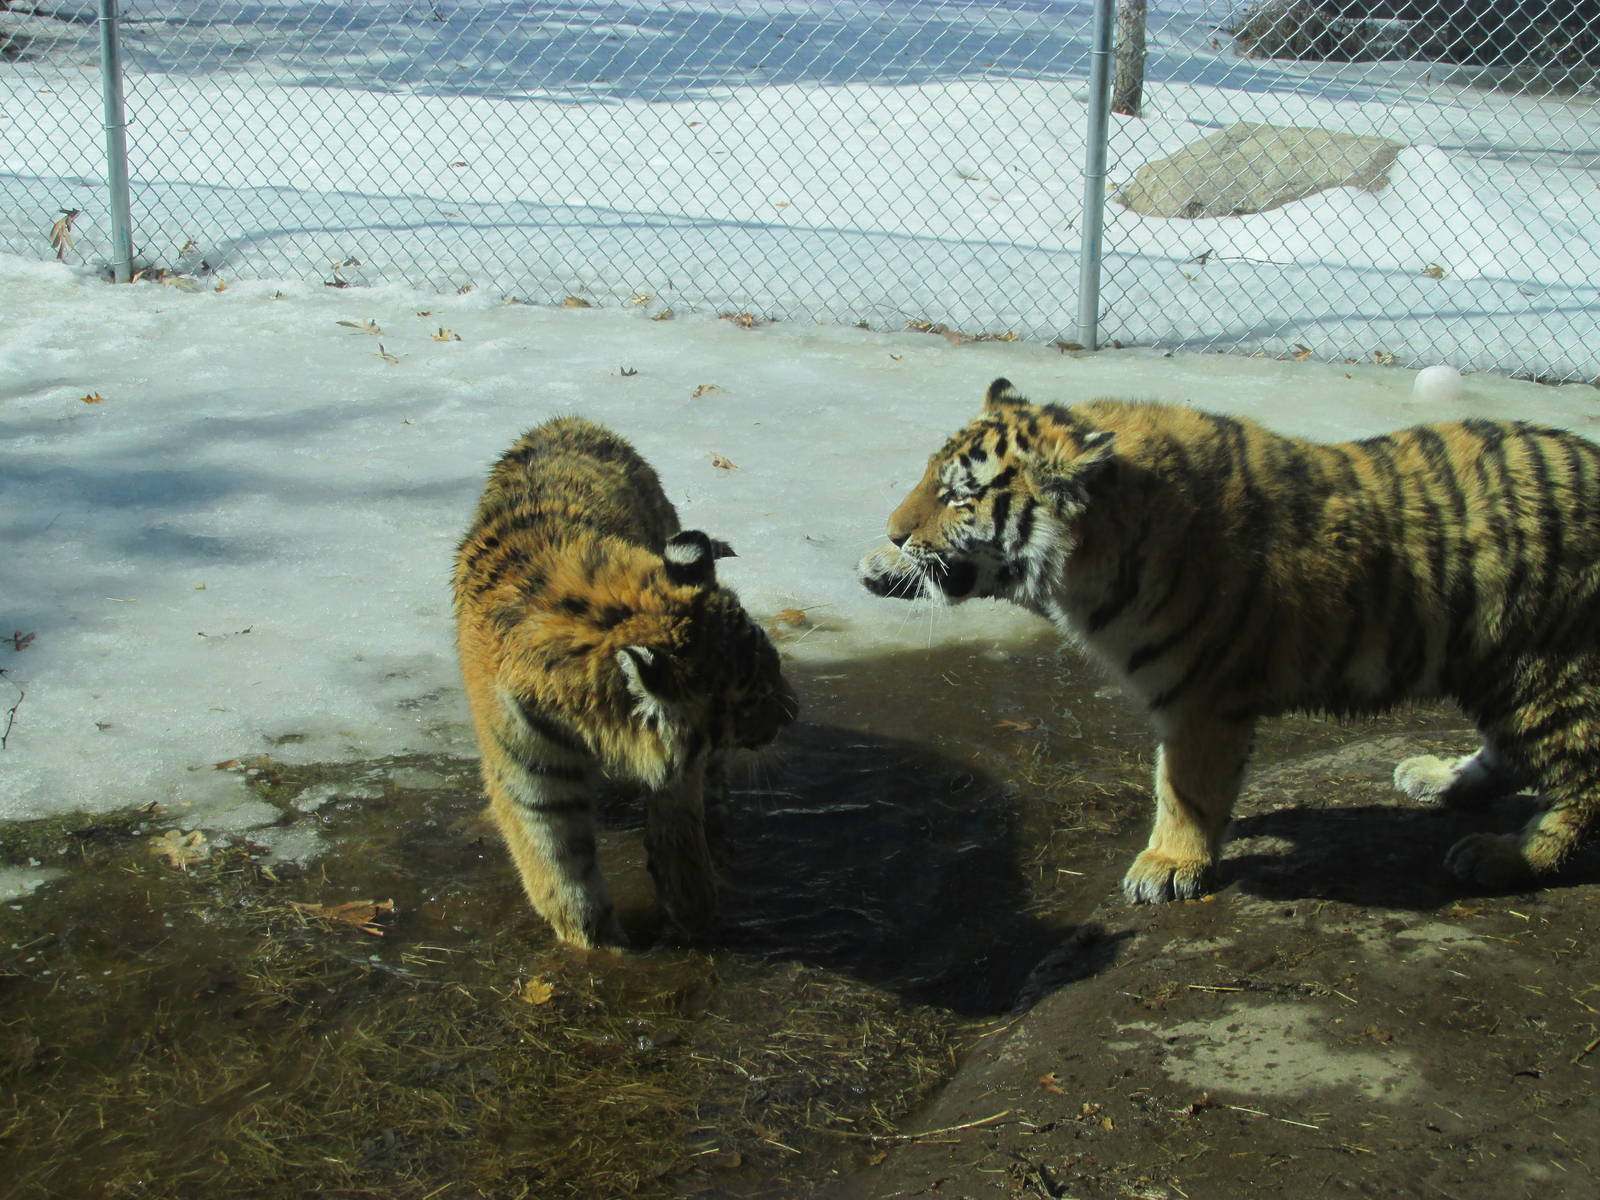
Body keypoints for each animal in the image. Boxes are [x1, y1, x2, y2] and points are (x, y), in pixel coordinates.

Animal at [454, 416, 798, 949]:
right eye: (752, 698)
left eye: (774, 667)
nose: (792, 714)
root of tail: (568, 419)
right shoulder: (531, 776)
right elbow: (558, 865)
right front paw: (594, 941)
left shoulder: (679, 763)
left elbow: (678, 823)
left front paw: (694, 905)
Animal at [860, 377, 1600, 904]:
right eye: (928, 480)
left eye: (960, 497)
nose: (893, 529)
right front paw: (882, 566)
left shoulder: (1201, 698)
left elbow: (1185, 787)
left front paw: (1167, 865)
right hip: (1497, 668)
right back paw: (1441, 780)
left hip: (1545, 669)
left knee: (1580, 782)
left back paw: (1506, 856)